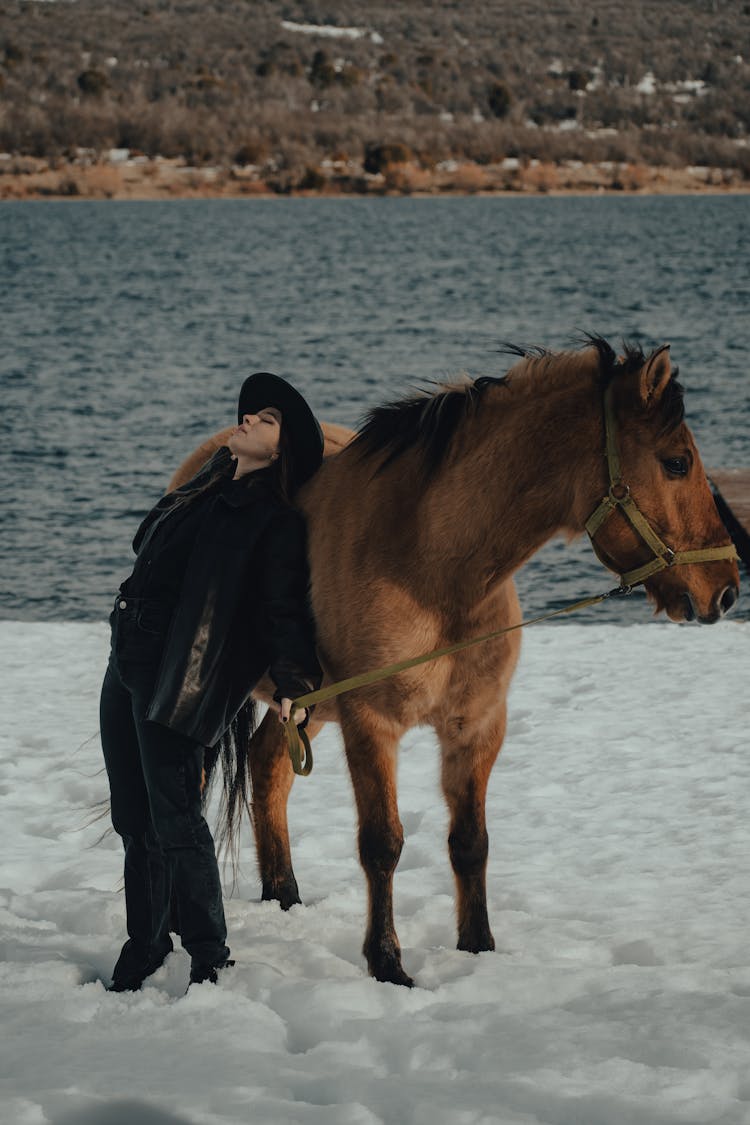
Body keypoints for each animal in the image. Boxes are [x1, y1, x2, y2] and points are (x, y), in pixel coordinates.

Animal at [169, 337, 737, 990]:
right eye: (677, 462)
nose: (725, 589)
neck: (431, 565)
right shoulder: (371, 724)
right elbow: (382, 844)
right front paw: (388, 964)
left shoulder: (478, 725)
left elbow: (470, 841)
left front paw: (478, 949)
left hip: (307, 709)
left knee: (268, 765)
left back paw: (285, 897)